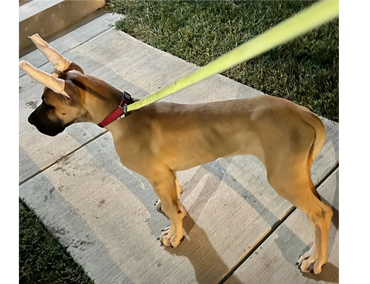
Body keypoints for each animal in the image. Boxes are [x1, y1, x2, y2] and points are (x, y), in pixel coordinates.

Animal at [17, 34, 334, 274]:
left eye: (48, 103)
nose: (30, 121)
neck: (123, 115)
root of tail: (304, 114)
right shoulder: (166, 175)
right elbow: (173, 202)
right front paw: (175, 210)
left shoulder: (158, 176)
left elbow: (172, 212)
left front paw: (175, 235)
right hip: (297, 174)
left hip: (283, 177)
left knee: (321, 214)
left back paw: (315, 260)